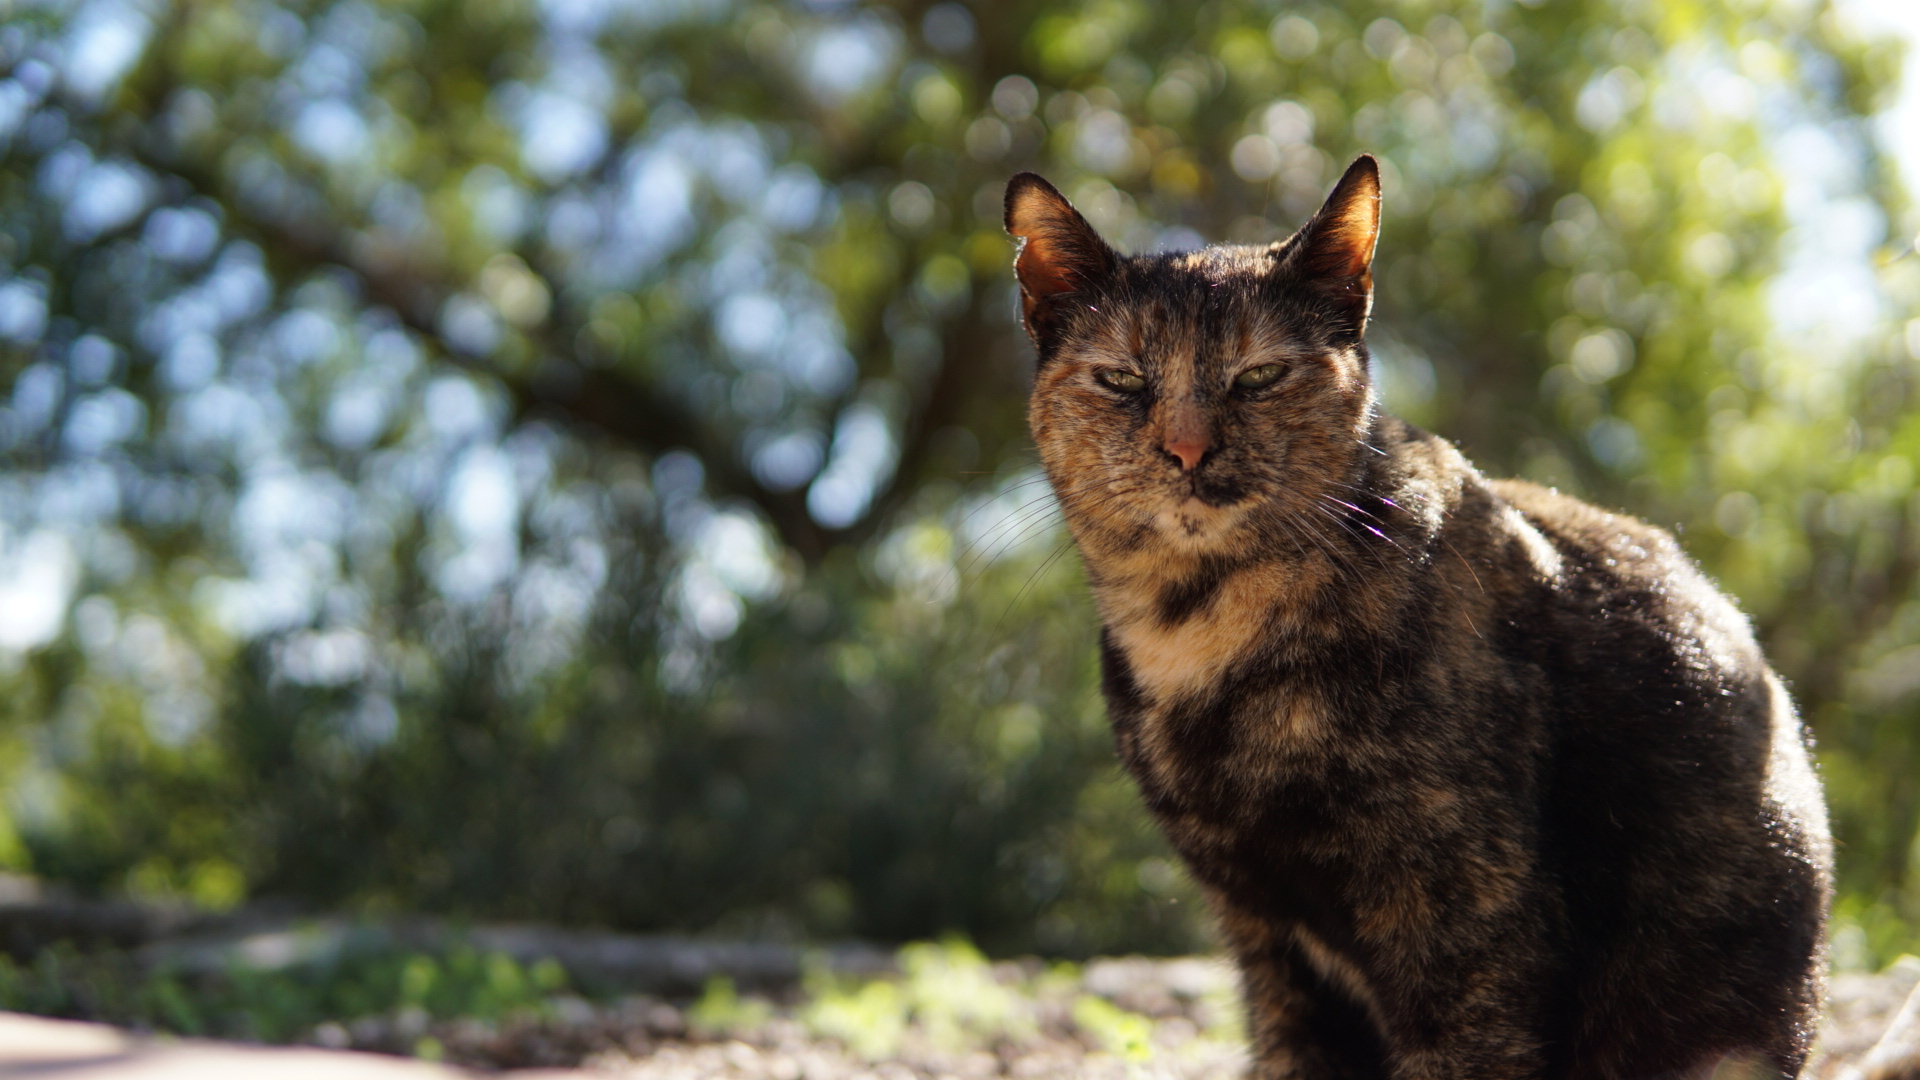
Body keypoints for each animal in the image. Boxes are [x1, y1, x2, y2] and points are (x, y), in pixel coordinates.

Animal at [1006, 153, 1827, 1076]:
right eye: (1122, 380)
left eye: (1259, 376)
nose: (1186, 450)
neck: (1193, 629)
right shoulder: (1266, 940)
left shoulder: (1470, 924)